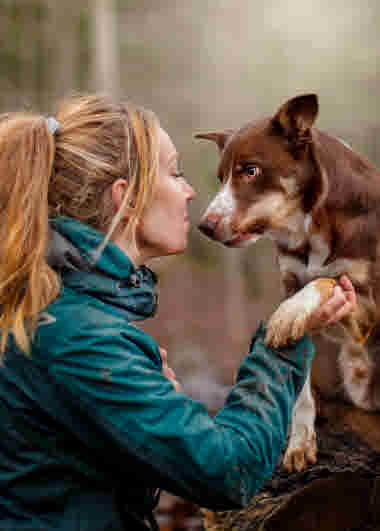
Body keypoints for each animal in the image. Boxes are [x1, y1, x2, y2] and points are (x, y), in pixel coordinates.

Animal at [197, 95, 380, 474]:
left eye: (250, 171)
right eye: (221, 178)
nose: (204, 227)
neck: (312, 227)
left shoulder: (369, 307)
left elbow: (326, 279)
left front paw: (288, 315)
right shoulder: (291, 281)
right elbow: (300, 388)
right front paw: (300, 443)